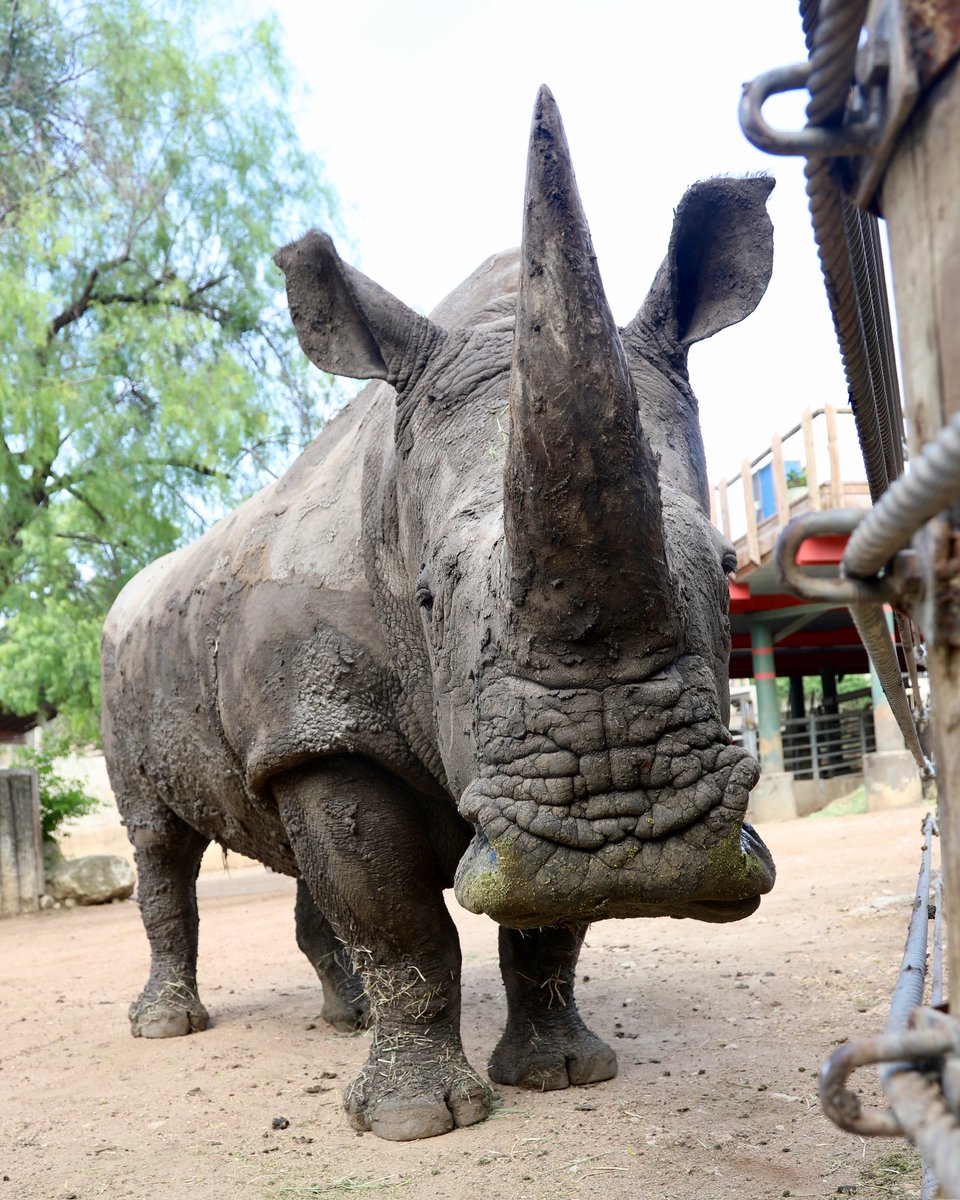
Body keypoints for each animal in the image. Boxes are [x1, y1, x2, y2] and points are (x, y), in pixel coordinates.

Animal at [101, 87, 776, 1142]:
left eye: (727, 563)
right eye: (426, 598)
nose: (632, 838)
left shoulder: (350, 740)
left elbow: (544, 923)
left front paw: (565, 1074)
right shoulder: (326, 731)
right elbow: (399, 922)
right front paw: (416, 1123)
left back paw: (340, 1022)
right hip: (128, 660)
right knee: (158, 843)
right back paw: (171, 1027)